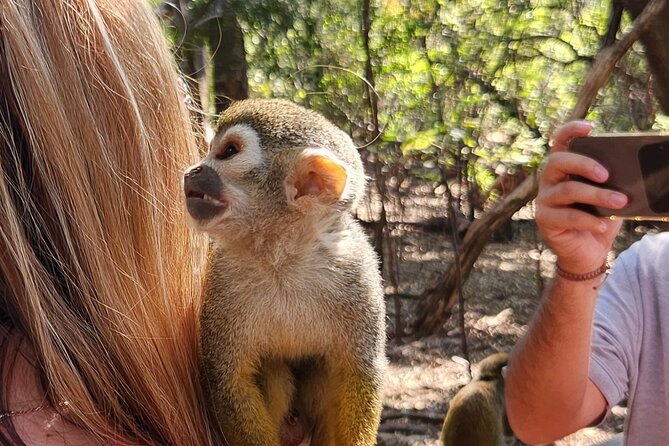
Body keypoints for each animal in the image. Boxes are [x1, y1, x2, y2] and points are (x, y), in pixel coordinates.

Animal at [183, 99, 386, 446]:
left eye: (229, 152)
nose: (194, 170)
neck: (282, 257)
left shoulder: (358, 271)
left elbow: (359, 371)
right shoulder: (222, 276)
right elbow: (228, 379)